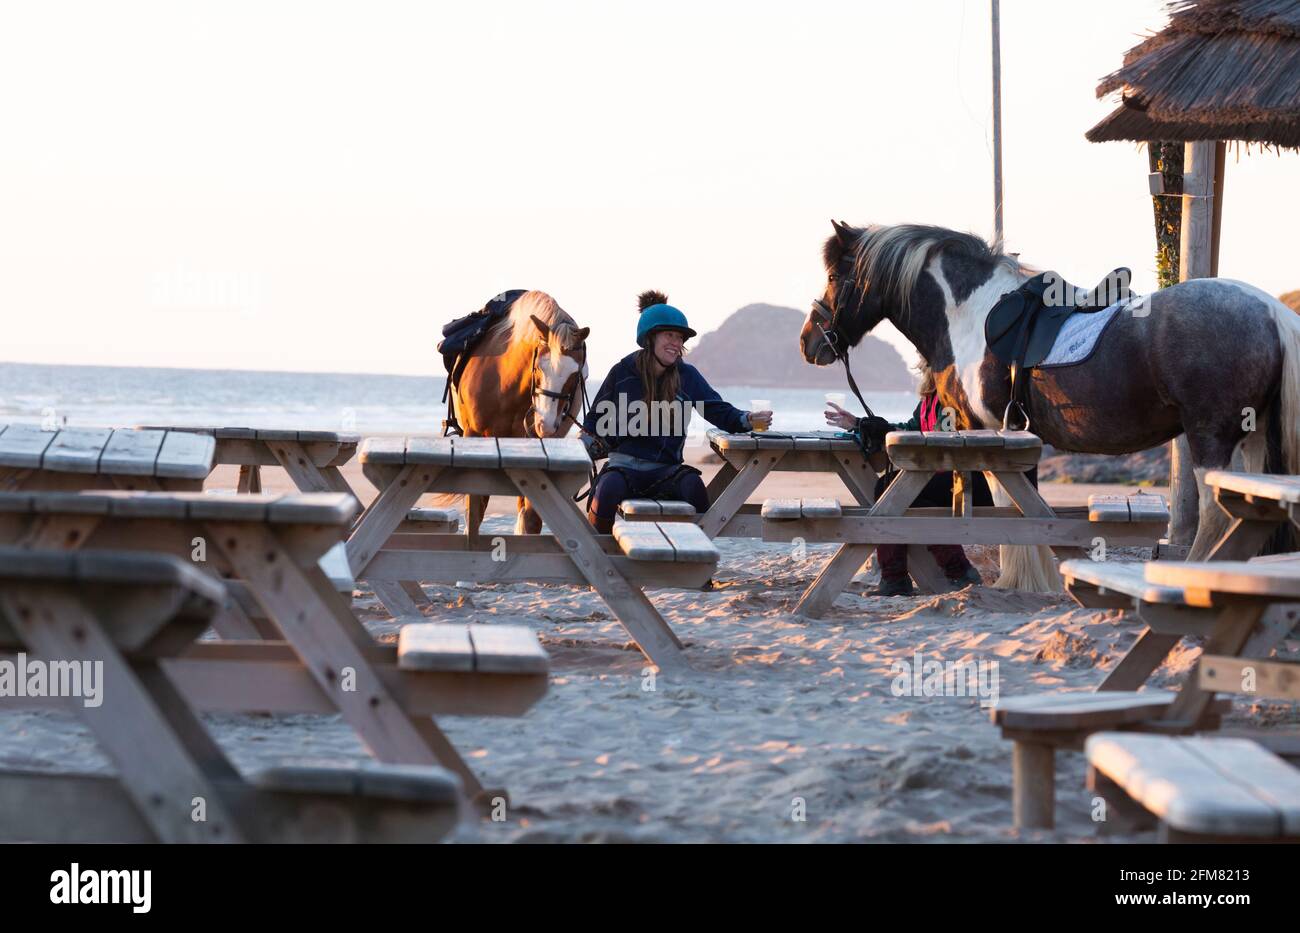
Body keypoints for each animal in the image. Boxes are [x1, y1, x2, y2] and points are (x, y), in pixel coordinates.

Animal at [447, 288, 590, 537]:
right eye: (539, 367)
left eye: (575, 375)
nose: (546, 424)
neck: (505, 382)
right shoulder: (474, 435)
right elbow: (474, 511)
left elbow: (531, 518)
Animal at [800, 222, 1300, 587]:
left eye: (834, 276)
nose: (809, 342)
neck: (970, 314)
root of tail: (1271, 309)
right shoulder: (1020, 438)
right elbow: (1028, 505)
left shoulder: (988, 432)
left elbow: (1009, 510)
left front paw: (1018, 582)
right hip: (1252, 438)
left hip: (1209, 436)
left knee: (1216, 515)